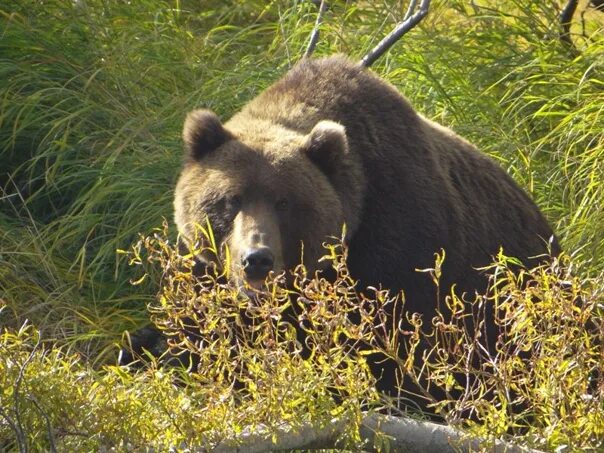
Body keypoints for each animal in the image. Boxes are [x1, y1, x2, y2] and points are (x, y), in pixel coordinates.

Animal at [168, 54, 560, 404]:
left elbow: (403, 350)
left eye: (285, 202)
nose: (257, 260)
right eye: (231, 199)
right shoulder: (210, 276)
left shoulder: (402, 243)